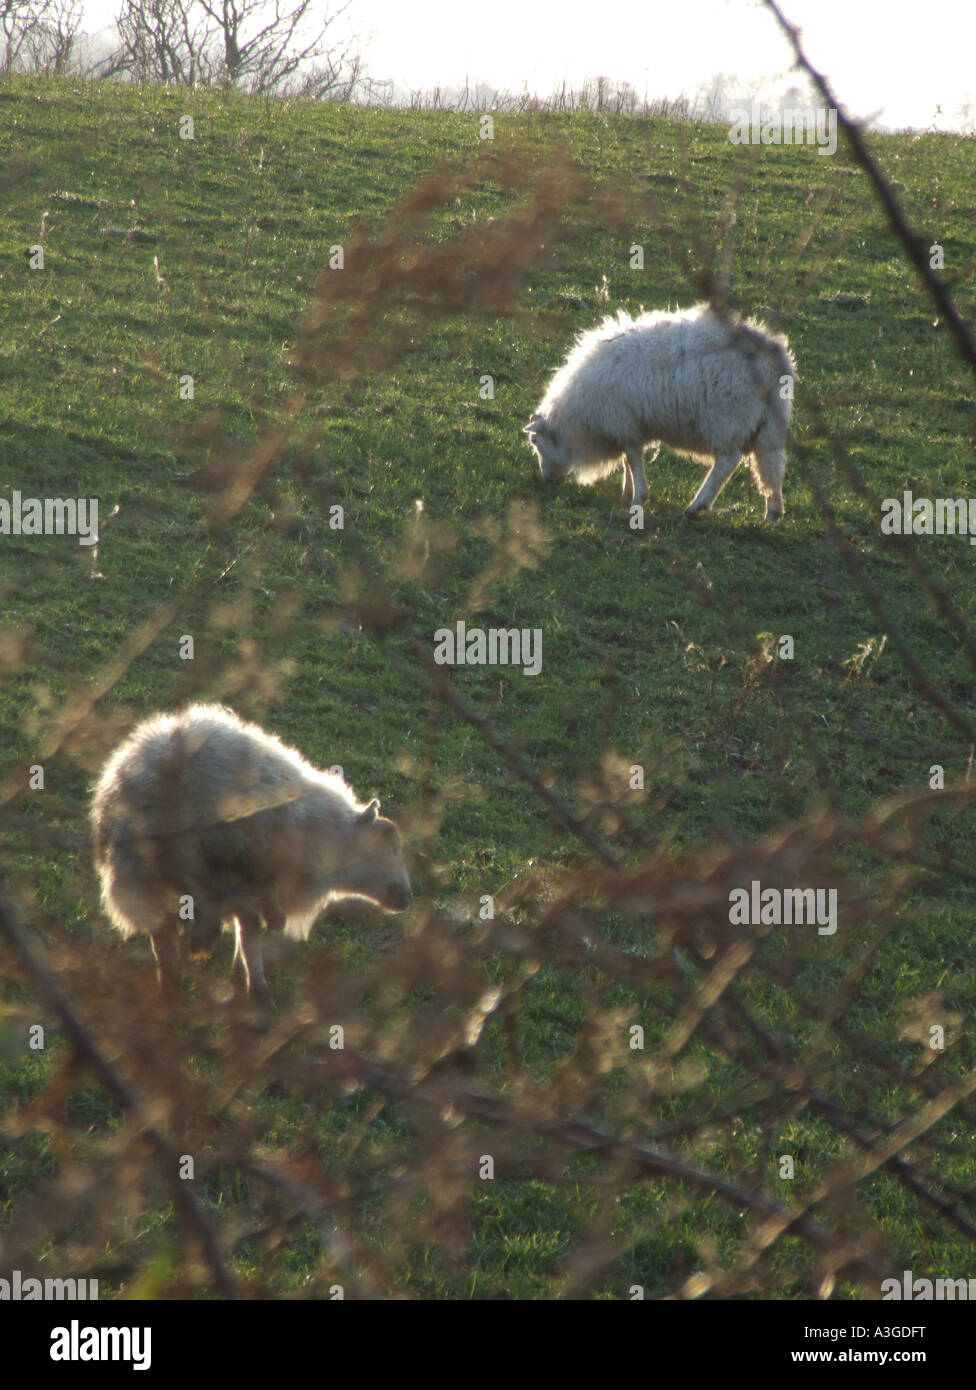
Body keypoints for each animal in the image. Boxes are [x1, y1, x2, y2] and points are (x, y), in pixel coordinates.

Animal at [91, 704, 411, 1001]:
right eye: (386, 845)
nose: (406, 898)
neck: (320, 834)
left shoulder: (251, 888)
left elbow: (247, 932)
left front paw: (239, 979)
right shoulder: (251, 877)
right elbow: (251, 934)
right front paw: (257, 988)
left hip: (147, 873)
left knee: (163, 934)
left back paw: (172, 985)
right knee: (169, 933)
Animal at [524, 303, 795, 521]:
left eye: (535, 442)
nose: (548, 480)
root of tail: (773, 362)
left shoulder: (623, 422)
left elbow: (633, 459)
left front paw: (638, 497)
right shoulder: (630, 426)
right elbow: (628, 460)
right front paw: (627, 492)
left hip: (727, 419)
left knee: (727, 462)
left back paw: (696, 507)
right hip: (768, 426)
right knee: (771, 466)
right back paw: (772, 513)